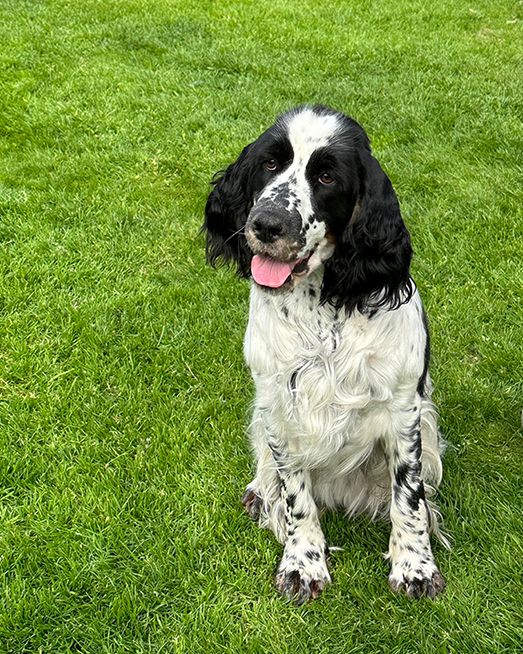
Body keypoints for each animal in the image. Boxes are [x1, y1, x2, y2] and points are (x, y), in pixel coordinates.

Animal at [203, 104, 448, 604]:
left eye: (327, 177)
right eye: (270, 163)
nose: (267, 224)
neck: (324, 307)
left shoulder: (404, 409)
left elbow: (409, 497)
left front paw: (415, 566)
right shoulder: (278, 407)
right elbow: (296, 495)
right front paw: (303, 564)